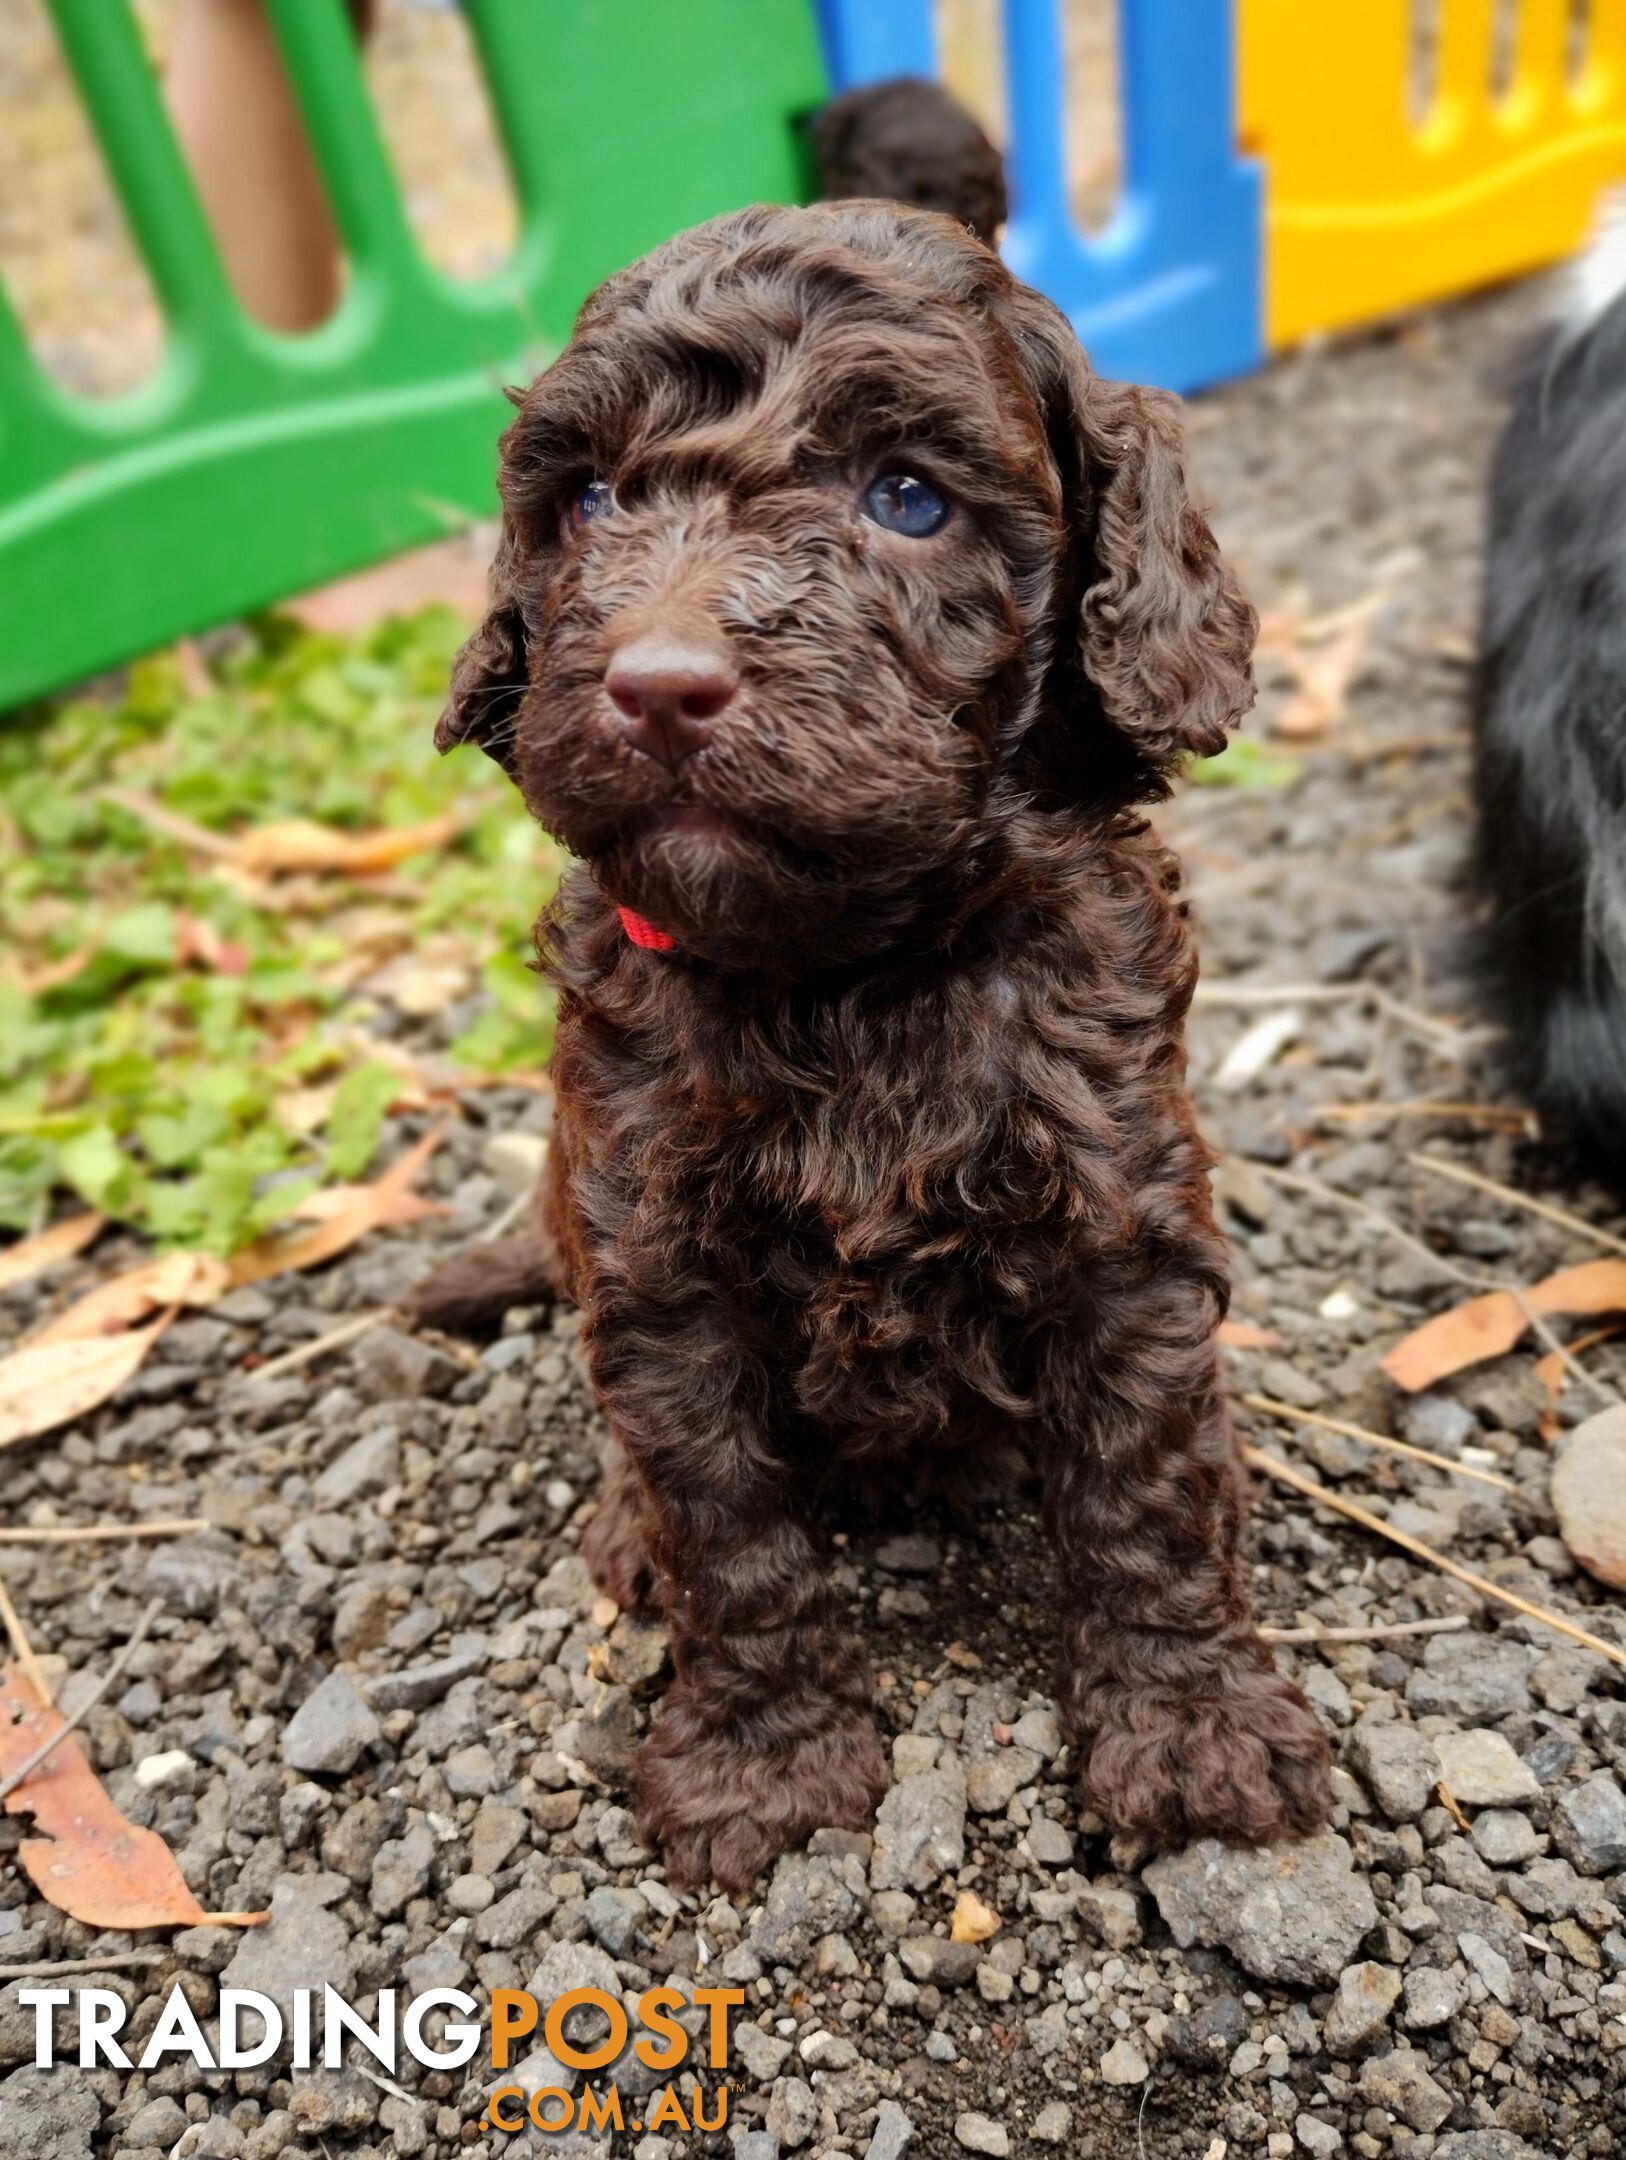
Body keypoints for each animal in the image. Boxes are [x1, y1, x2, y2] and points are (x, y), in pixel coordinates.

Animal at [421, 203, 1330, 1892]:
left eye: (906, 498)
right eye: (586, 499)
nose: (655, 687)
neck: (851, 977)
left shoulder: (1121, 1224)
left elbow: (1144, 1490)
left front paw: (1191, 1729)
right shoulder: (660, 1271)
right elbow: (729, 1529)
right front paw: (763, 1760)